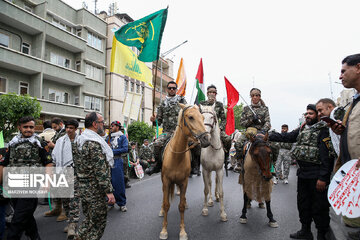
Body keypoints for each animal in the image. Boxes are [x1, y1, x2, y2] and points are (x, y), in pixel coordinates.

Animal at [159, 103, 210, 240]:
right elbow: (166, 204)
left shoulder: (184, 182)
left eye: (203, 118)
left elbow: (181, 206)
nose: (206, 139)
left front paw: (182, 232)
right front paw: (164, 230)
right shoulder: (166, 181)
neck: (176, 156)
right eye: (191, 117)